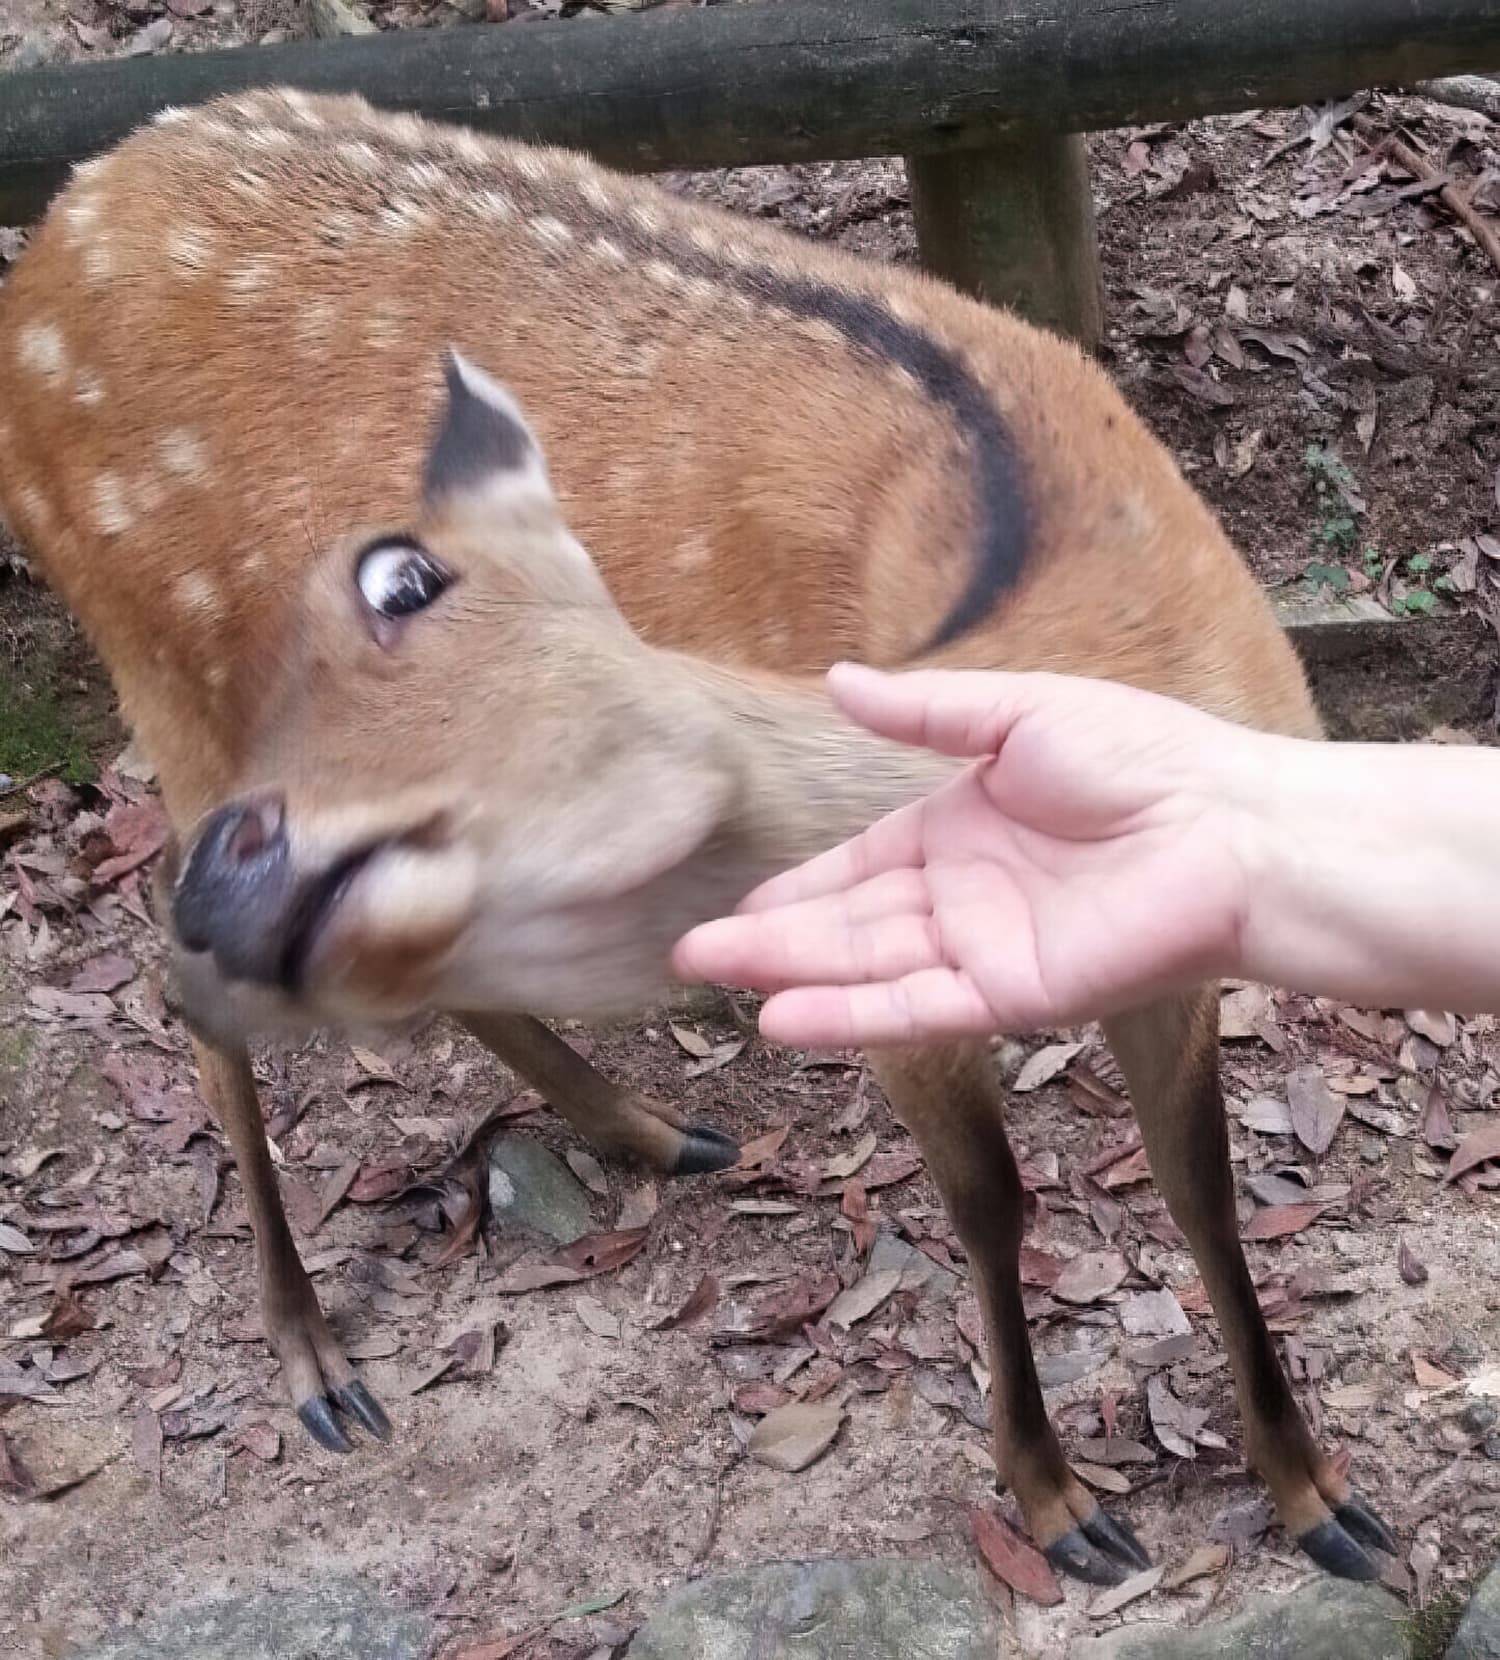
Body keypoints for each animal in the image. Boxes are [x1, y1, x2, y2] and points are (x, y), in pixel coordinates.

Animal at [0, 87, 1397, 1587]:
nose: (240, 883)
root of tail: (63, 225)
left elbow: (1203, 1190)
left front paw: (1323, 1498)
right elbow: (992, 1200)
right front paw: (1059, 1504)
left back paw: (652, 1131)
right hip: (162, 674)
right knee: (192, 1003)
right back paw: (316, 1356)